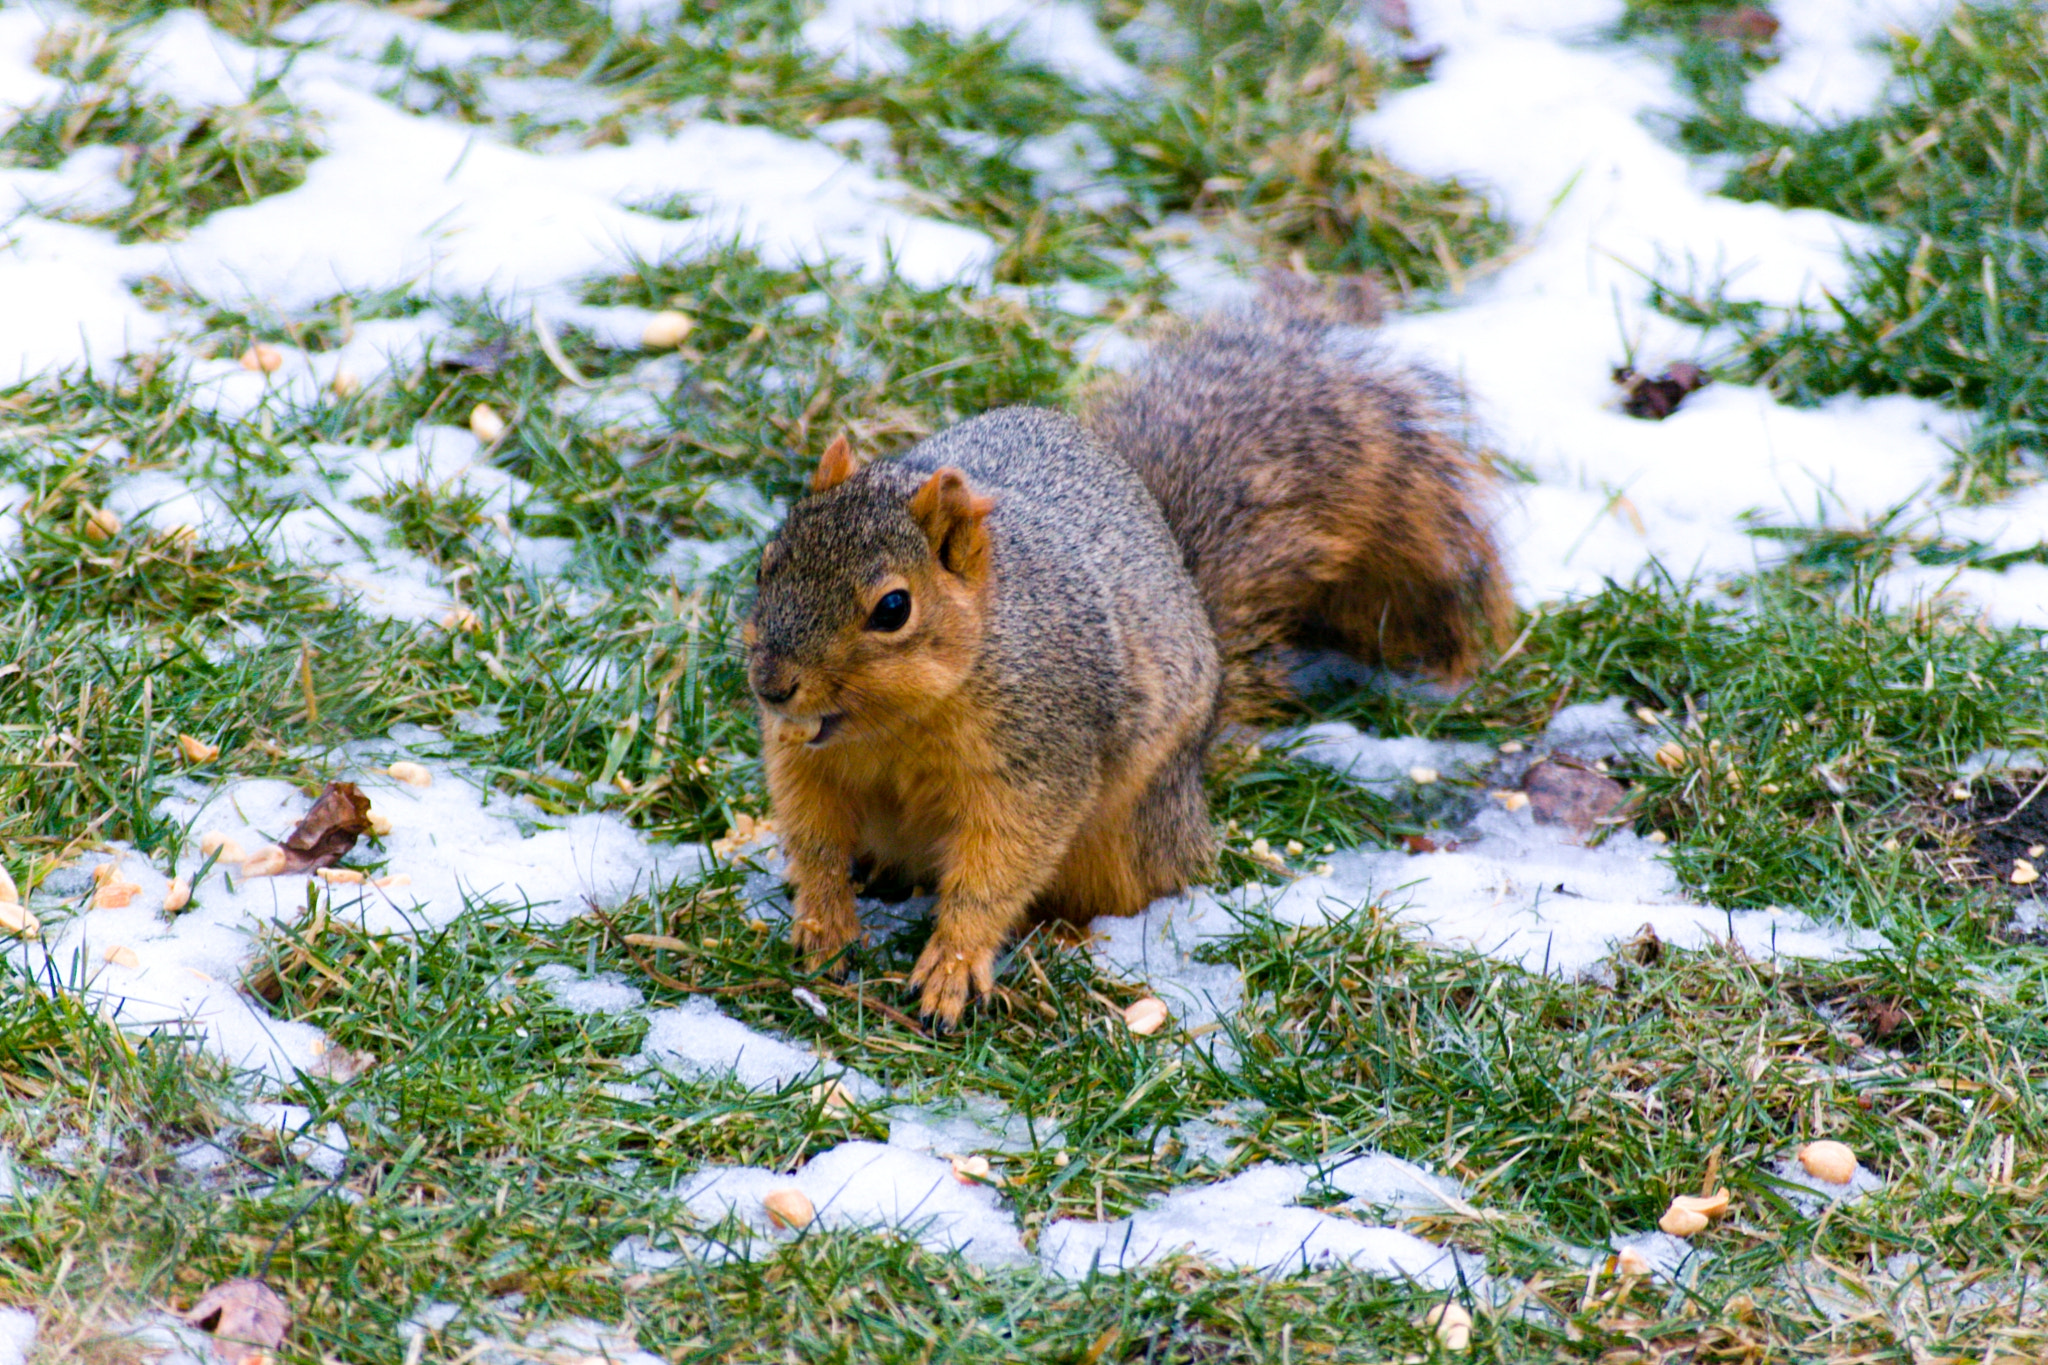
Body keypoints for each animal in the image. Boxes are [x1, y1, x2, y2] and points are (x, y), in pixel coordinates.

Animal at [745, 298, 1515, 1023]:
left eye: (894, 609)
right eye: (766, 561)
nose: (771, 686)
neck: (895, 722)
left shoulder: (1040, 755)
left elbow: (998, 867)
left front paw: (953, 964)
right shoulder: (803, 758)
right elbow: (813, 837)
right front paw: (824, 922)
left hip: (1126, 831)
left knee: (1125, 889)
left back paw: (1067, 935)